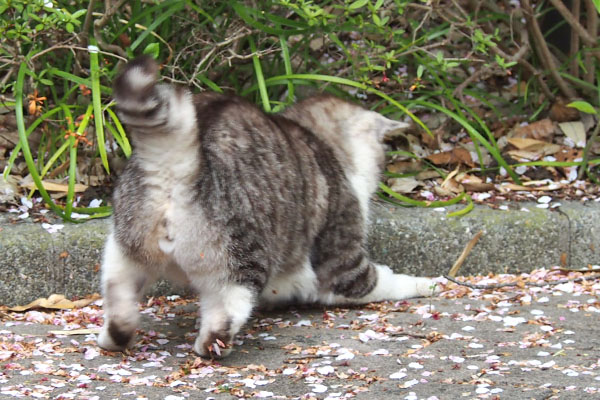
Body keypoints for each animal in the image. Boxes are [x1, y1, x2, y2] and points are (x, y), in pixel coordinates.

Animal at [96, 56, 438, 360]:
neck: (320, 140)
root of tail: (176, 160)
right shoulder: (342, 260)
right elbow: (384, 280)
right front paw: (428, 283)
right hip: (243, 257)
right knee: (226, 311)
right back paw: (213, 344)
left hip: (123, 250)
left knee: (118, 297)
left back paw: (115, 336)